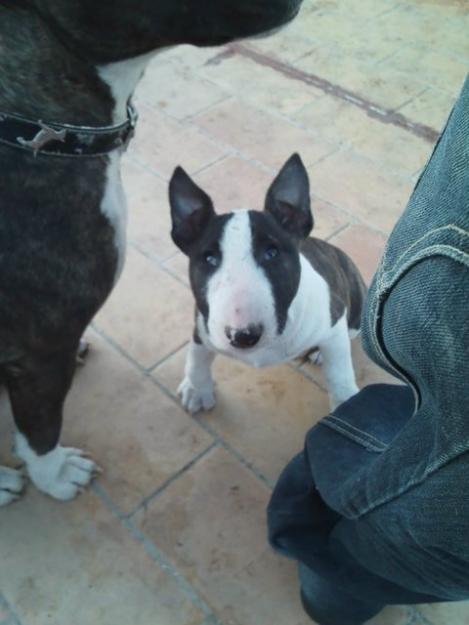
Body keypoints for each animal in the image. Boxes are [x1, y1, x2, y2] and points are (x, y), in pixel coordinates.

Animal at [168, 154, 366, 412]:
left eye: (272, 253)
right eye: (210, 258)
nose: (243, 336)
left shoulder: (334, 317)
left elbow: (339, 372)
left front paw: (345, 402)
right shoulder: (202, 325)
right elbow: (196, 357)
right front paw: (196, 389)